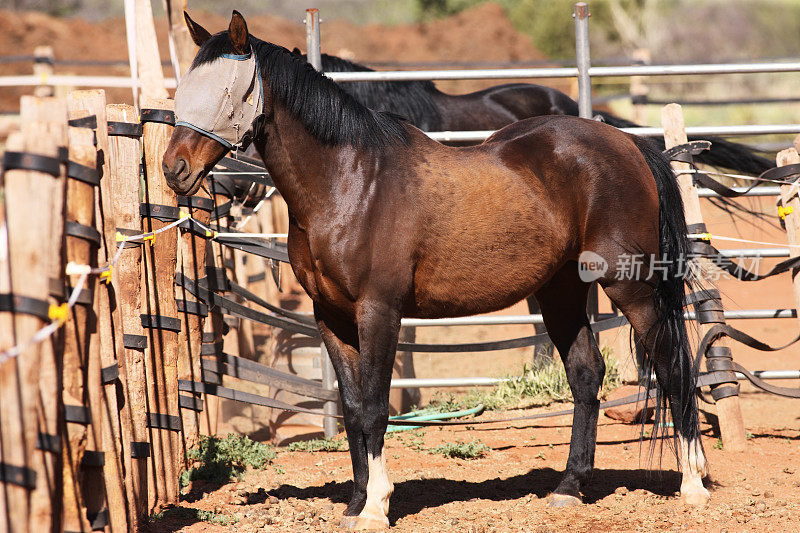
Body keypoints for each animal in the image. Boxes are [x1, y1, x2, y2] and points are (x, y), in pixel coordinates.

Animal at [162, 11, 708, 528]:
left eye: (227, 91)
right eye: (183, 90)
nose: (174, 169)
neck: (349, 183)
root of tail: (632, 146)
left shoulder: (379, 312)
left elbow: (376, 407)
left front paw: (377, 507)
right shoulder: (330, 317)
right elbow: (353, 409)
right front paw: (356, 504)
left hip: (631, 287)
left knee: (673, 366)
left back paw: (693, 484)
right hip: (561, 292)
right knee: (586, 373)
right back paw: (569, 488)